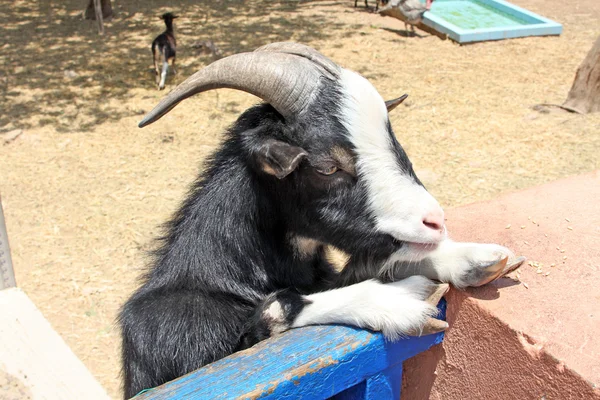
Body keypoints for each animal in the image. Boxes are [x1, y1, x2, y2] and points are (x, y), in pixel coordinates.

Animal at [119, 42, 524, 398]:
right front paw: (399, 300)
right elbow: (279, 308)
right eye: (328, 166)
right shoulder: (187, 347)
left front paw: (471, 258)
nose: (435, 222)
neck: (215, 277)